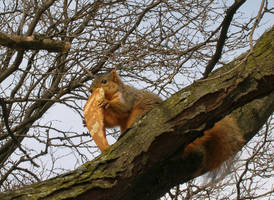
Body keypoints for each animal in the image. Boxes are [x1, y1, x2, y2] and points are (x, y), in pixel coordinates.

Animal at [84, 69, 243, 173]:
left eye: (104, 81)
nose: (91, 90)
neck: (112, 94)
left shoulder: (127, 97)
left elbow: (122, 108)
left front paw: (106, 103)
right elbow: (113, 120)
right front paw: (87, 121)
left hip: (139, 114)